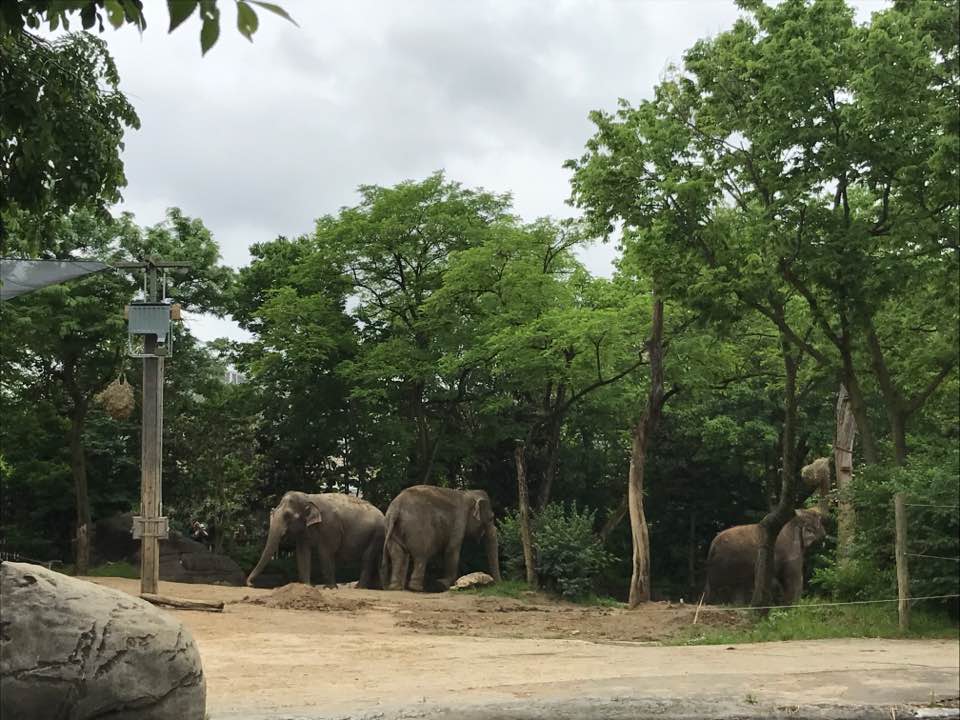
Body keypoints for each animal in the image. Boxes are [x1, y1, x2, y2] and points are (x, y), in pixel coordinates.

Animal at [246, 491, 385, 589]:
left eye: (288, 516)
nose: (250, 584)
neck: (308, 497)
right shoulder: (304, 531)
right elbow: (302, 553)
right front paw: (307, 586)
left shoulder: (329, 525)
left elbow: (325, 552)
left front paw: (329, 588)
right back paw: (373, 586)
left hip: (377, 533)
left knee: (367, 558)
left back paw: (359, 587)